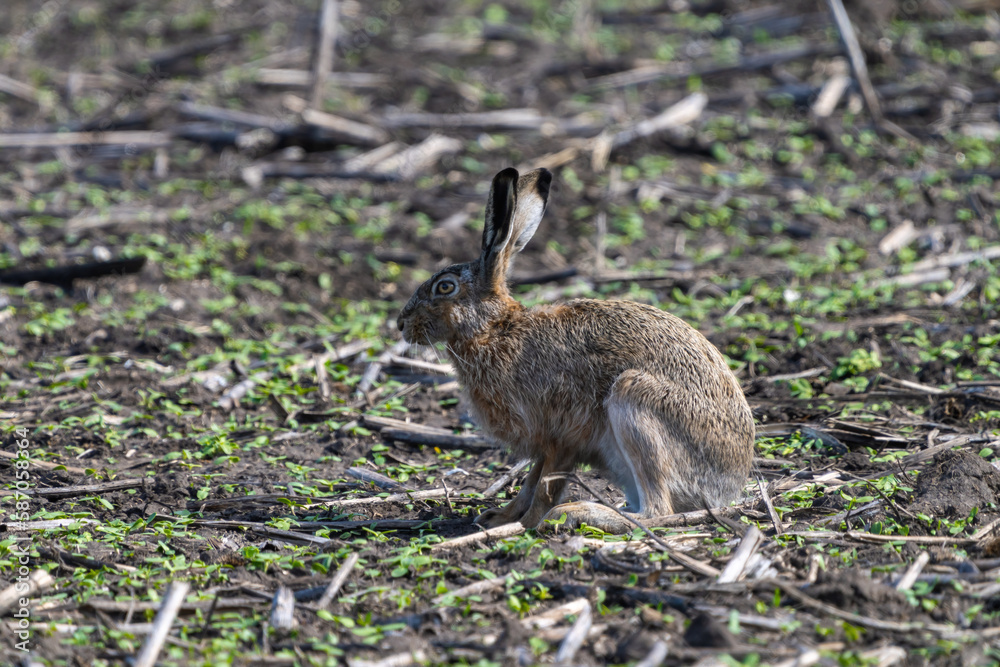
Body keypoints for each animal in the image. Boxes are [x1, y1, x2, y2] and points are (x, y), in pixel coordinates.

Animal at [397, 167, 755, 533]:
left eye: (445, 287)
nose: (401, 324)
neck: (496, 329)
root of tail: (726, 487)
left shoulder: (561, 437)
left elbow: (544, 487)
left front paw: (528, 525)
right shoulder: (545, 445)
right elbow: (529, 483)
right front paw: (500, 517)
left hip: (636, 400)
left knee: (659, 510)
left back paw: (578, 513)